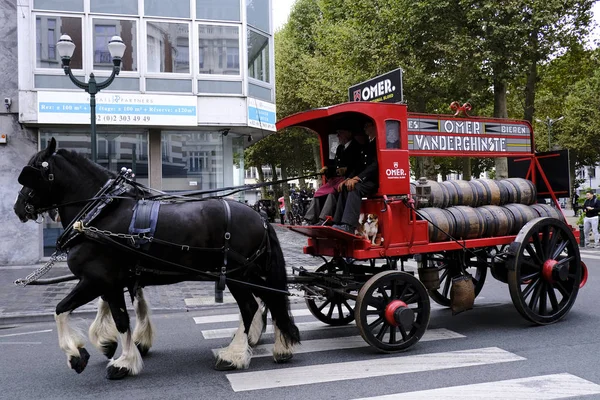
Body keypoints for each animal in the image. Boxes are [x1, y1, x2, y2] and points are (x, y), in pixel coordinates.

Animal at [15, 139, 300, 380]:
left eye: (30, 174)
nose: (17, 208)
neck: (100, 212)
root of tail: (260, 216)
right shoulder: (113, 281)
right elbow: (119, 312)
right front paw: (111, 345)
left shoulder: (97, 279)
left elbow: (69, 310)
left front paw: (95, 358)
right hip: (251, 272)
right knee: (272, 298)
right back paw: (280, 347)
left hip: (236, 274)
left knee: (251, 306)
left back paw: (234, 355)